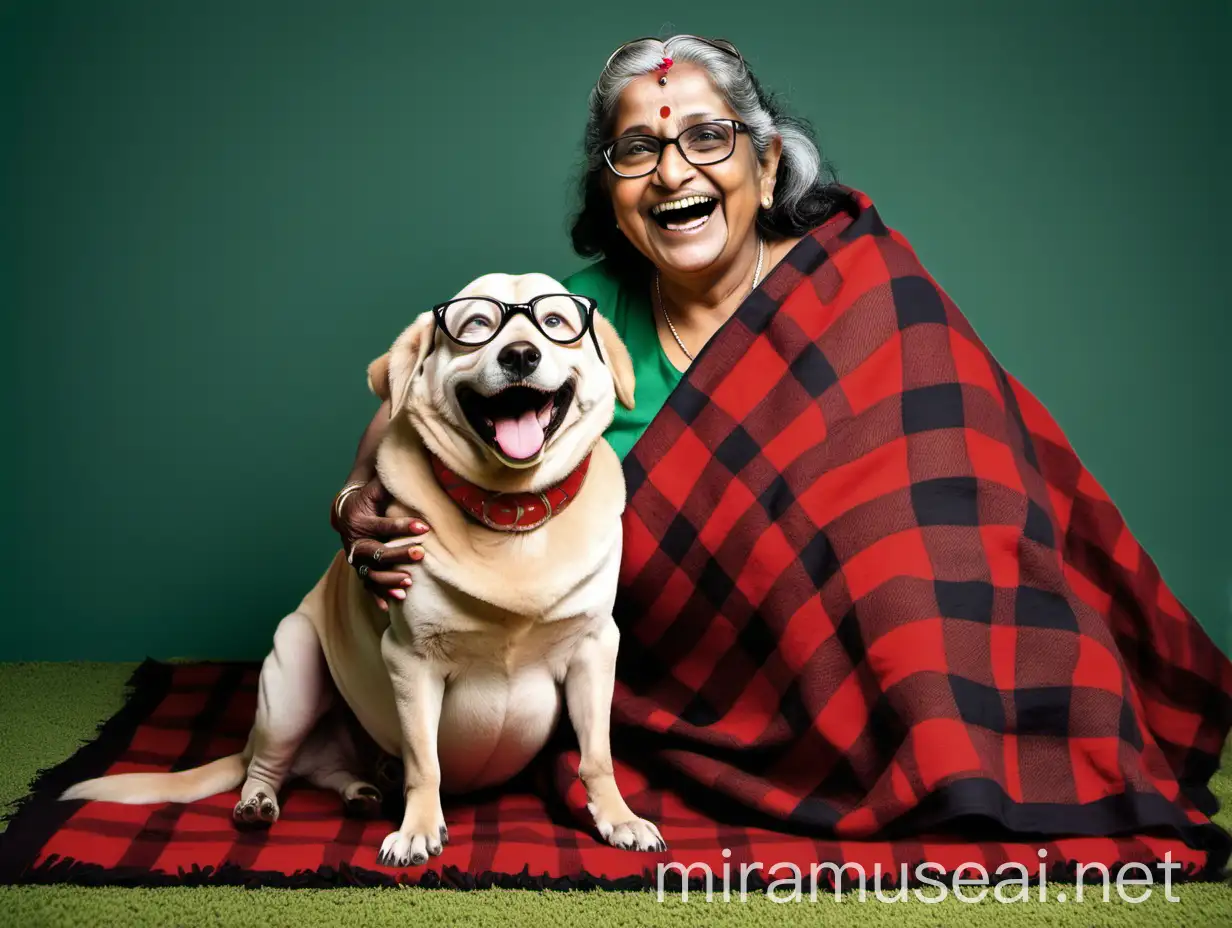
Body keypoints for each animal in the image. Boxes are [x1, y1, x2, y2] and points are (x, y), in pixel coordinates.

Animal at [62, 271, 670, 867]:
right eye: (476, 324)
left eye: (556, 322)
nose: (520, 354)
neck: (510, 515)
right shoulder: (411, 660)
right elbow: (425, 762)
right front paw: (418, 829)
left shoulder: (595, 648)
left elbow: (597, 755)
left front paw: (618, 817)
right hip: (291, 674)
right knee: (270, 766)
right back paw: (258, 802)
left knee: (327, 772)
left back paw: (359, 791)